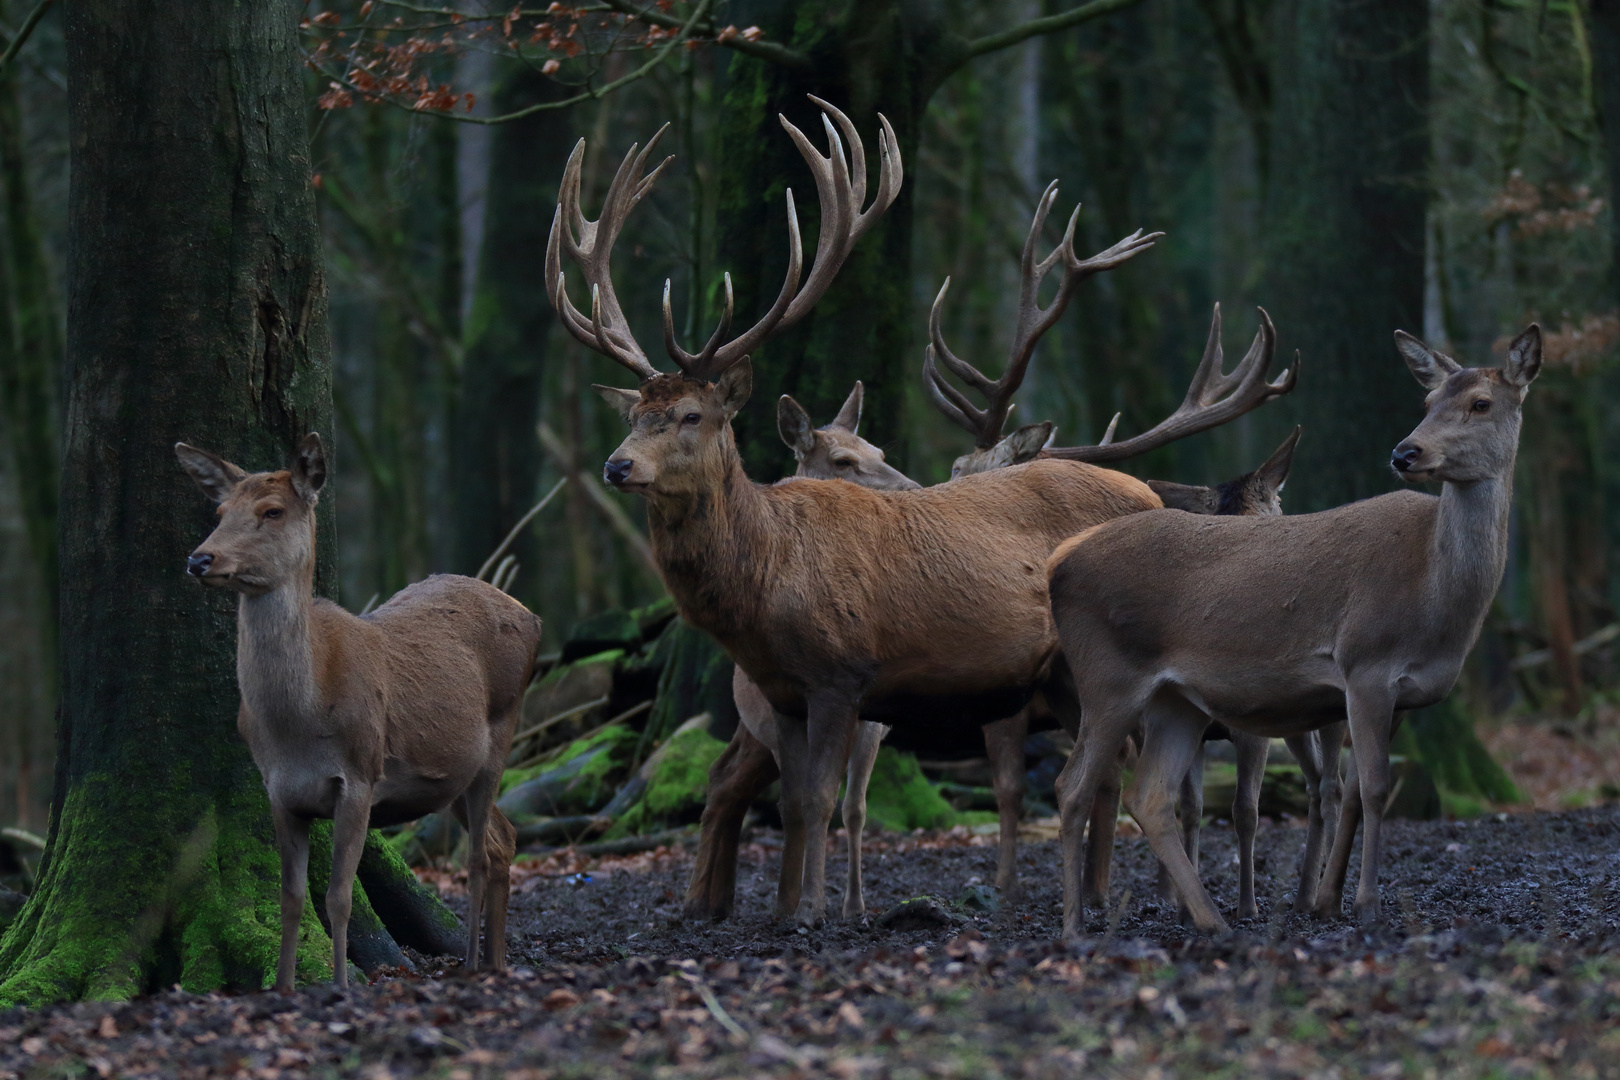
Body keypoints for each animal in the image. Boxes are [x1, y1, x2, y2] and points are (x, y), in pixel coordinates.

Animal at [176, 433, 541, 990]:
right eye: (219, 510)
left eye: (272, 510)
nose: (200, 559)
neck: (299, 721)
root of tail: (534, 616)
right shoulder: (278, 789)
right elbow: (292, 897)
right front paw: (283, 986)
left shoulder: (360, 777)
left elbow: (339, 897)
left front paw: (341, 985)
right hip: (453, 776)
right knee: (504, 838)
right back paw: (498, 960)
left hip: (503, 727)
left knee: (479, 855)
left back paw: (474, 964)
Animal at [554, 101, 1289, 926]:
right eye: (634, 415)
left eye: (690, 415)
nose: (617, 466)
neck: (766, 580)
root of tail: (1148, 492)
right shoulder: (780, 690)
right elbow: (791, 801)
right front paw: (787, 910)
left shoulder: (841, 671)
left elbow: (817, 799)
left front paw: (814, 912)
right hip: (1069, 678)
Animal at [1049, 325, 1542, 932]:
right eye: (1426, 402)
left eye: (1481, 403)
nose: (1405, 452)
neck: (1436, 601)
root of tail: (1058, 563)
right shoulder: (1365, 663)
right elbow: (1375, 787)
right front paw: (1366, 904)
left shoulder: (1395, 696)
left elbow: (1349, 790)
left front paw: (1326, 899)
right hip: (1107, 678)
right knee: (1072, 785)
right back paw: (1077, 925)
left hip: (1175, 699)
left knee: (1151, 795)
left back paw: (1211, 919)